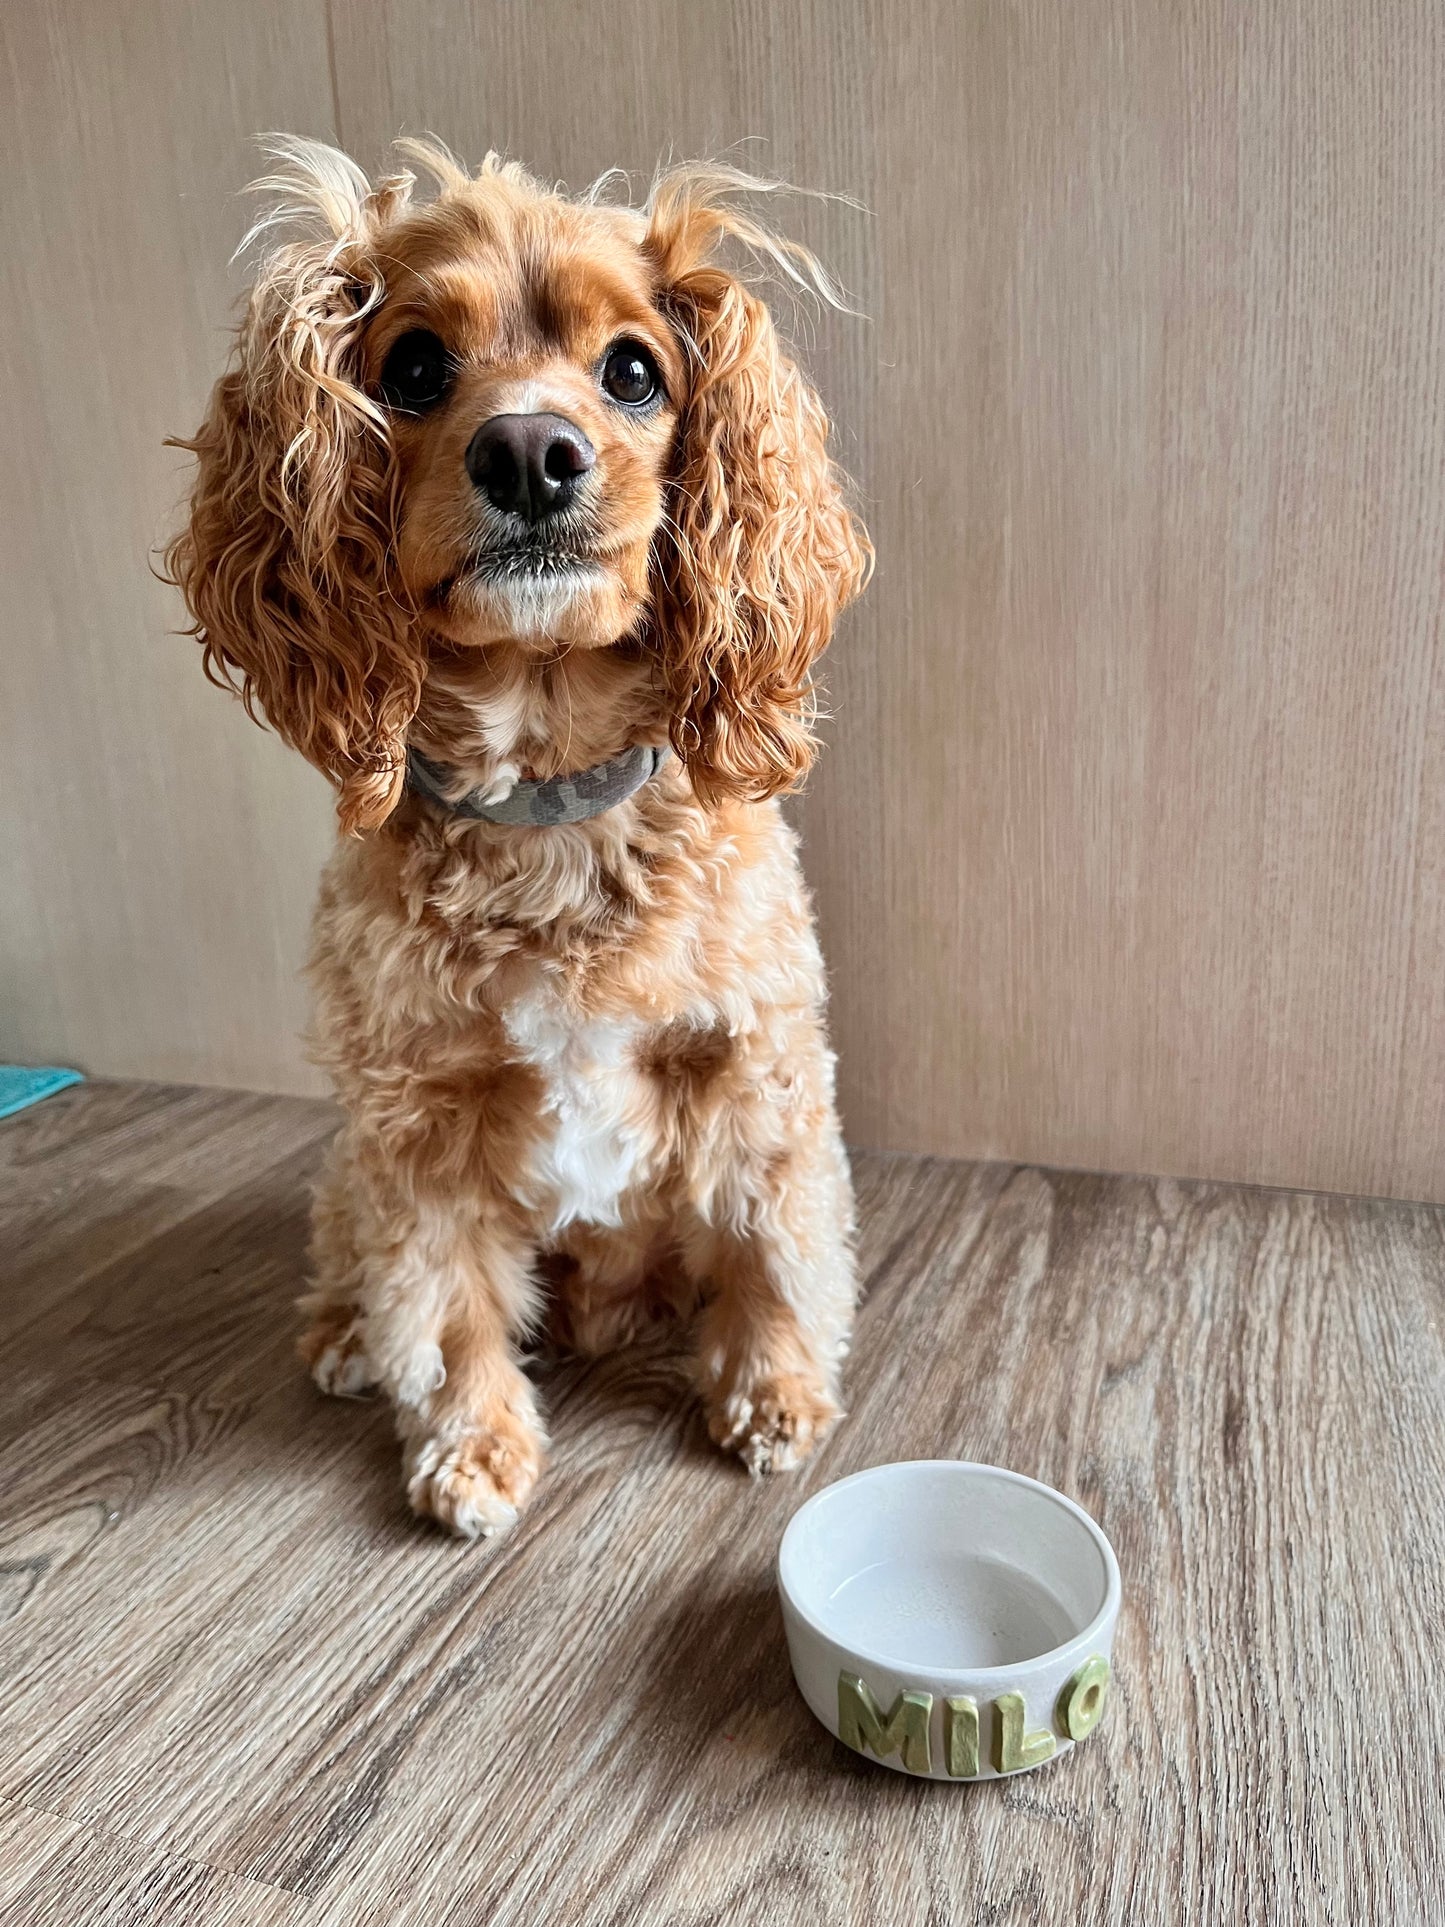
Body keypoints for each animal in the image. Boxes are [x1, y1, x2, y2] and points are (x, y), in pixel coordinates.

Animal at [169, 139, 870, 1533]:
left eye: (634, 370)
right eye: (413, 369)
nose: (533, 451)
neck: (550, 798)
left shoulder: (755, 1062)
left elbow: (772, 1240)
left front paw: (772, 1393)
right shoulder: (416, 1118)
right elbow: (441, 1305)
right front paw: (471, 1448)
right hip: (349, 1162)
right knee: (347, 1252)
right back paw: (342, 1336)